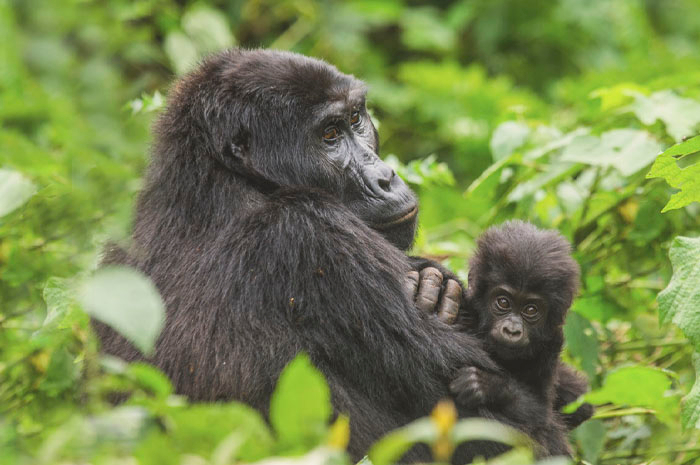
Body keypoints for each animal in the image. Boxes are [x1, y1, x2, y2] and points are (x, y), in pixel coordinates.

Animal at [94, 50, 536, 460]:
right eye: (328, 135)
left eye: (356, 119)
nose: (386, 177)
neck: (217, 179)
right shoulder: (312, 232)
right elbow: (515, 430)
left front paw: (435, 282)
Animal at [452, 220, 592, 454]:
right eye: (503, 302)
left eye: (531, 309)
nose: (512, 330)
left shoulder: (552, 343)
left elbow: (541, 413)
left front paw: (488, 386)